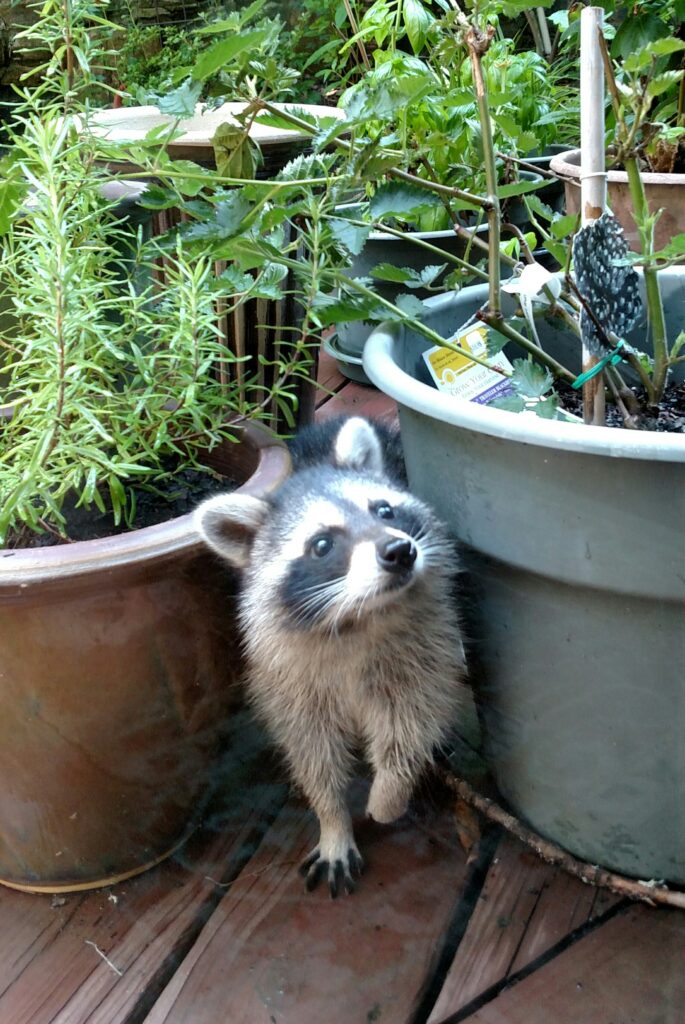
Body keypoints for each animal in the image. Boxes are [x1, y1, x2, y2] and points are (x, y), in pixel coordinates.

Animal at [194, 415, 466, 897]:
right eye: (322, 545)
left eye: (384, 511)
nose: (400, 551)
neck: (359, 619)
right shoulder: (285, 677)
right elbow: (311, 751)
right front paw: (333, 818)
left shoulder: (423, 648)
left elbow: (411, 722)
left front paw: (389, 794)